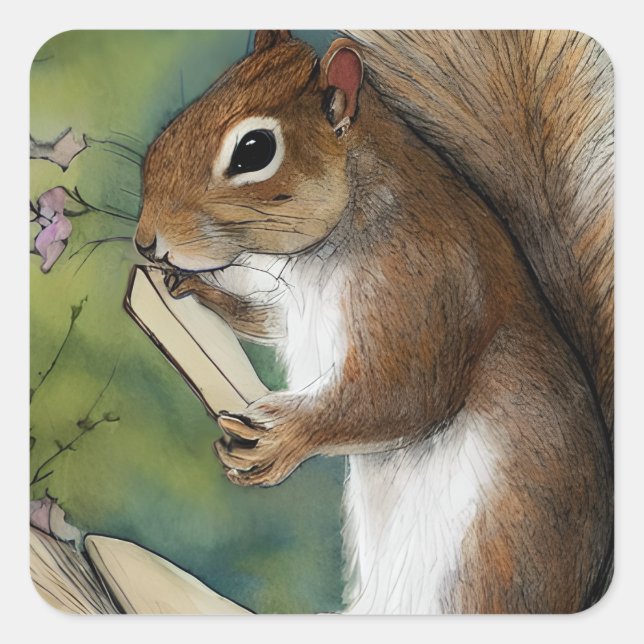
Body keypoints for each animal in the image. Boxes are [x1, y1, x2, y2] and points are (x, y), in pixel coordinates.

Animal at [134, 30, 613, 614]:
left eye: (254, 151)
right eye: (178, 121)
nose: (145, 240)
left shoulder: (422, 288)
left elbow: (401, 395)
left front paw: (283, 439)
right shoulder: (290, 303)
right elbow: (268, 320)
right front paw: (192, 286)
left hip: (487, 566)